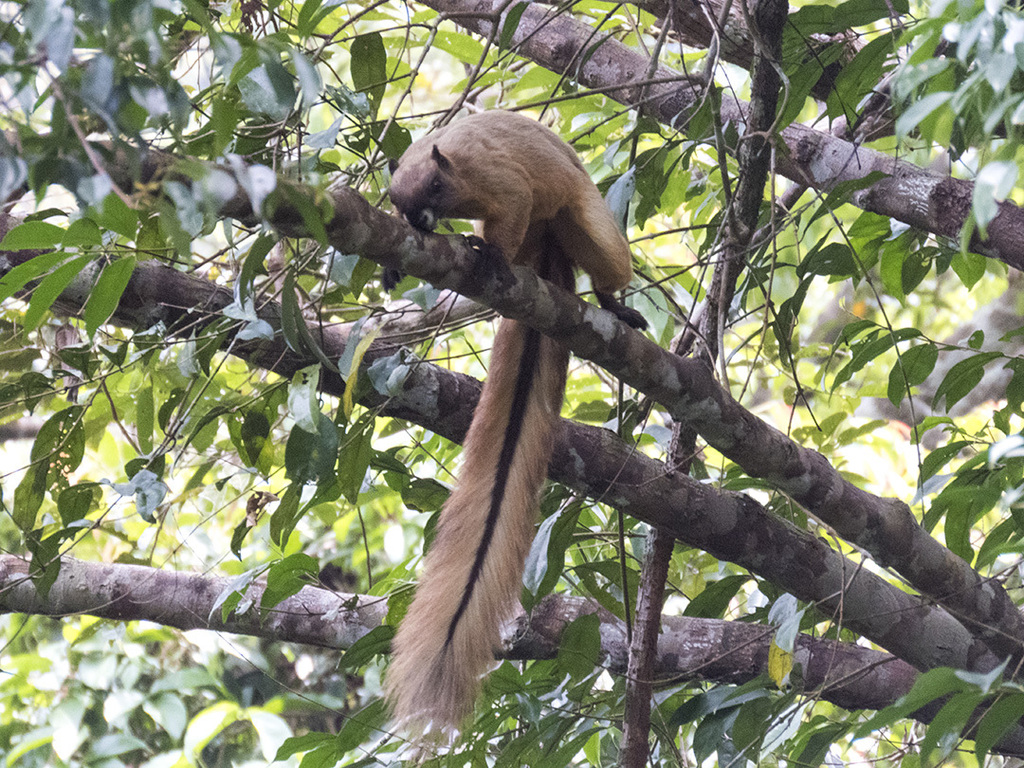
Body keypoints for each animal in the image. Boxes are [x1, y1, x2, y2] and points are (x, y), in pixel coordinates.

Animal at [385, 110, 645, 737]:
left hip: (575, 216)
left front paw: (489, 256)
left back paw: (610, 300)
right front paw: (392, 262)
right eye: (401, 205)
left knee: (603, 249)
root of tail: (545, 253)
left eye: (435, 189)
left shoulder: (497, 181)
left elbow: (516, 199)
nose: (422, 221)